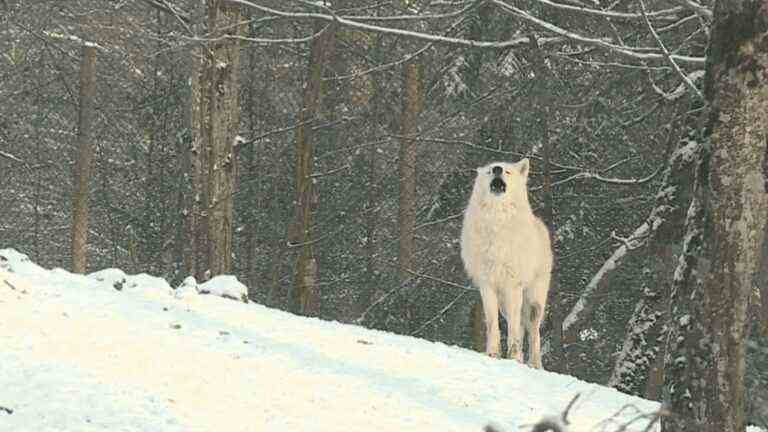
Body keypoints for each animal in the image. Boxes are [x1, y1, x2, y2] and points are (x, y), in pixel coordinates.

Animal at [462, 159, 552, 368]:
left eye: (508, 172)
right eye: (489, 171)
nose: (497, 169)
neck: (497, 222)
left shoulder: (513, 284)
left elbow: (513, 328)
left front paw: (514, 357)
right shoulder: (487, 285)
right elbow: (492, 324)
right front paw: (493, 354)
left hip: (533, 301)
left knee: (533, 332)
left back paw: (535, 364)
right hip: (505, 302)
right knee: (519, 324)